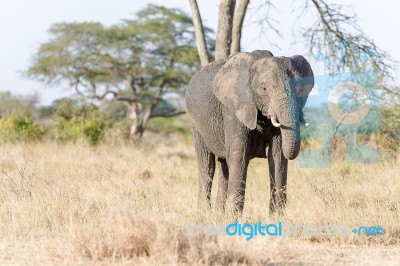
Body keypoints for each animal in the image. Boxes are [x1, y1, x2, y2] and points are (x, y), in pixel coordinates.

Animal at [186, 49, 314, 216]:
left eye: (300, 89)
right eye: (264, 89)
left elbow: (277, 156)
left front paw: (276, 217)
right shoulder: (234, 107)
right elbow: (239, 155)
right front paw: (233, 217)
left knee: (224, 166)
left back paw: (219, 214)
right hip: (197, 124)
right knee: (207, 163)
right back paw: (203, 213)